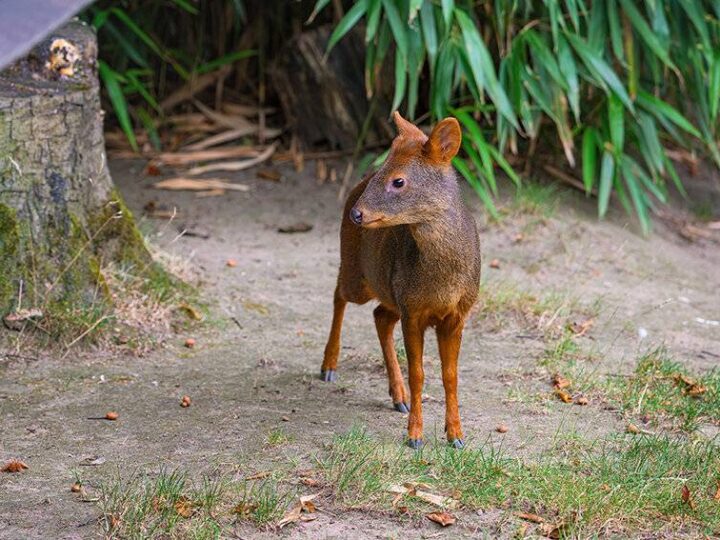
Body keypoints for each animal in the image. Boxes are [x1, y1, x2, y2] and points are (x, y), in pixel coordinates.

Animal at [320, 112, 481, 449]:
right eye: (382, 169)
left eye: (398, 181)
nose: (358, 214)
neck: (442, 281)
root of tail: (354, 188)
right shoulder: (413, 311)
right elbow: (418, 373)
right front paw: (415, 436)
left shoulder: (457, 314)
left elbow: (451, 375)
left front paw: (456, 435)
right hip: (359, 276)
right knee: (339, 293)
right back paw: (329, 365)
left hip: (389, 291)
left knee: (379, 315)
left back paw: (398, 396)